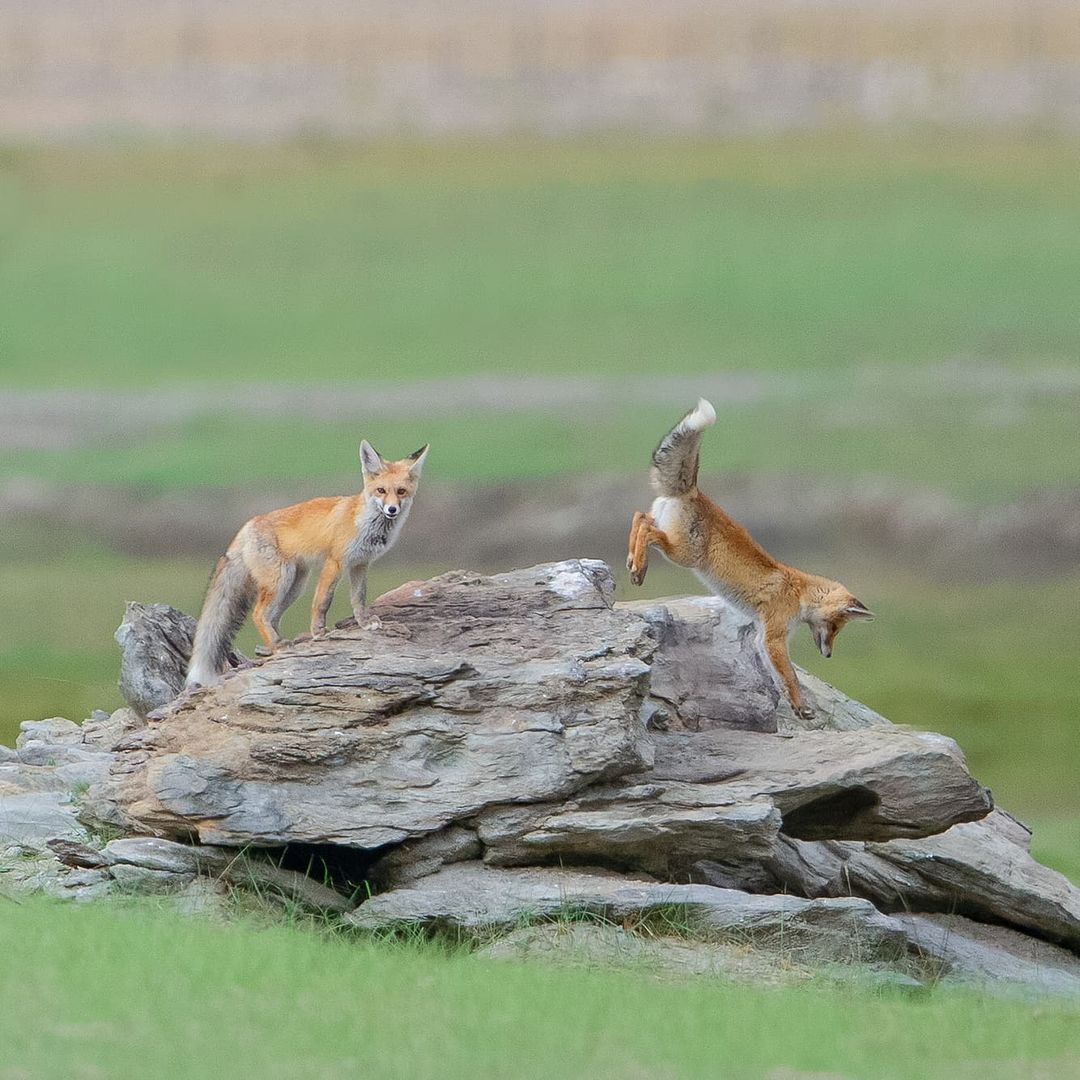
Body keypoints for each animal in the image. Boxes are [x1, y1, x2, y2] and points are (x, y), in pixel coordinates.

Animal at [183, 442, 427, 686]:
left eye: (401, 492)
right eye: (381, 491)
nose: (392, 510)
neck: (368, 526)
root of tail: (247, 526)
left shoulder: (360, 564)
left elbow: (359, 598)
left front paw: (365, 622)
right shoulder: (335, 562)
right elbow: (322, 601)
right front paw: (318, 632)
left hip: (295, 585)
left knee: (272, 616)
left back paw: (276, 644)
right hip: (280, 579)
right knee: (259, 614)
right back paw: (278, 646)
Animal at [630, 397, 872, 717]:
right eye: (834, 627)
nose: (829, 655)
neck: (799, 594)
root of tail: (694, 491)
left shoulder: (761, 637)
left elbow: (777, 679)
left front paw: (785, 704)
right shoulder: (774, 638)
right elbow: (790, 678)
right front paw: (800, 706)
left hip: (670, 540)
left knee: (639, 517)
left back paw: (632, 562)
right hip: (683, 554)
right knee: (645, 528)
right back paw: (638, 567)